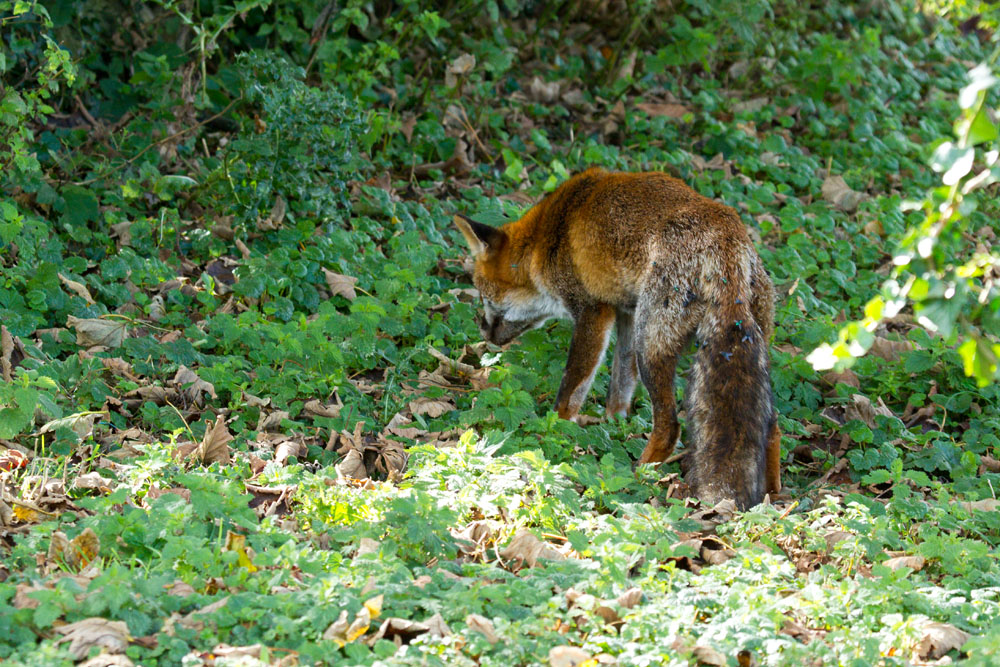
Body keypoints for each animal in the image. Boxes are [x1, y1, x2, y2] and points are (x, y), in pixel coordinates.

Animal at [453, 168, 781, 509]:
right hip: (727, 347)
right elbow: (620, 385)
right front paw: (614, 424)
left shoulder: (593, 310)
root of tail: (727, 235)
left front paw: (554, 433)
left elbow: (571, 389)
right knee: (772, 427)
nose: (483, 332)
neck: (546, 240)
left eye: (484, 296)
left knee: (669, 427)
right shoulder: (626, 313)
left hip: (651, 345)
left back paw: (636, 477)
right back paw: (770, 498)